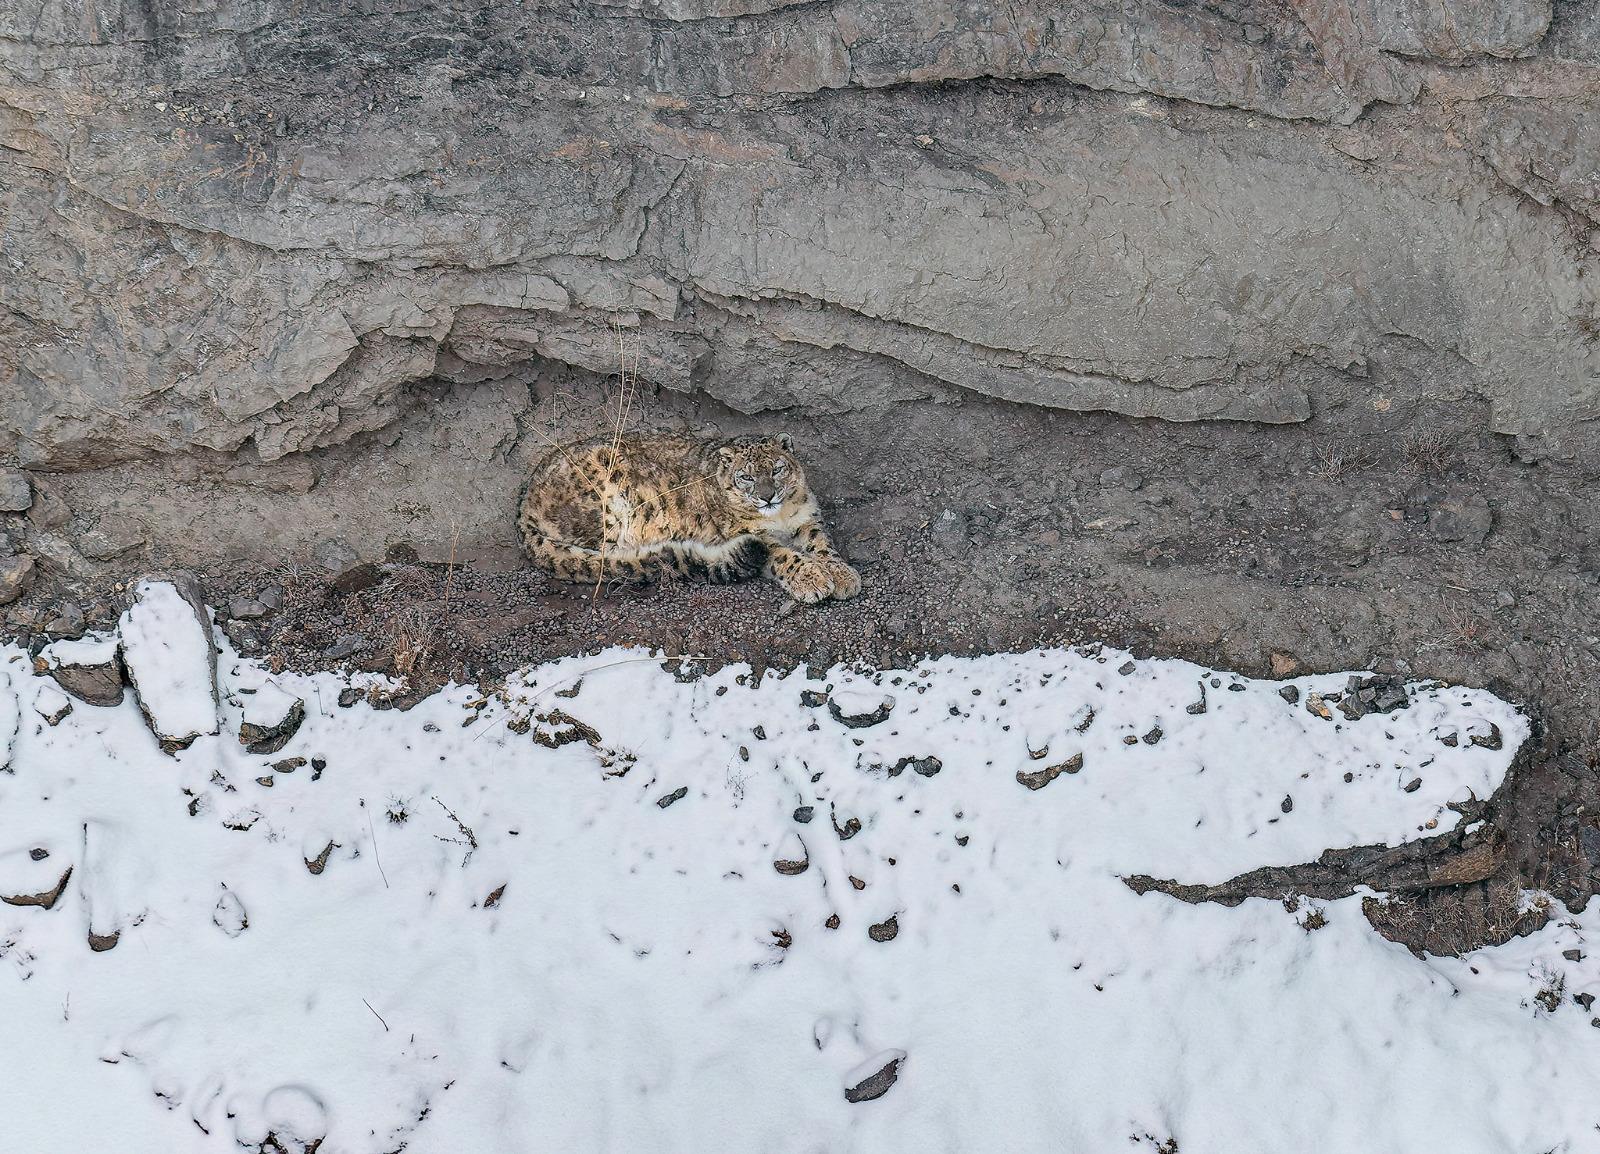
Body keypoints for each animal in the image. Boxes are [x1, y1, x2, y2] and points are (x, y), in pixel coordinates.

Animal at [517, 432, 861, 604]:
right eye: (746, 477)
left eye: (777, 469)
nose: (767, 496)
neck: (781, 518)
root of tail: (525, 499)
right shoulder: (752, 534)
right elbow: (784, 555)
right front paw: (813, 579)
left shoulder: (807, 519)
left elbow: (822, 545)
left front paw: (843, 575)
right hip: (606, 510)